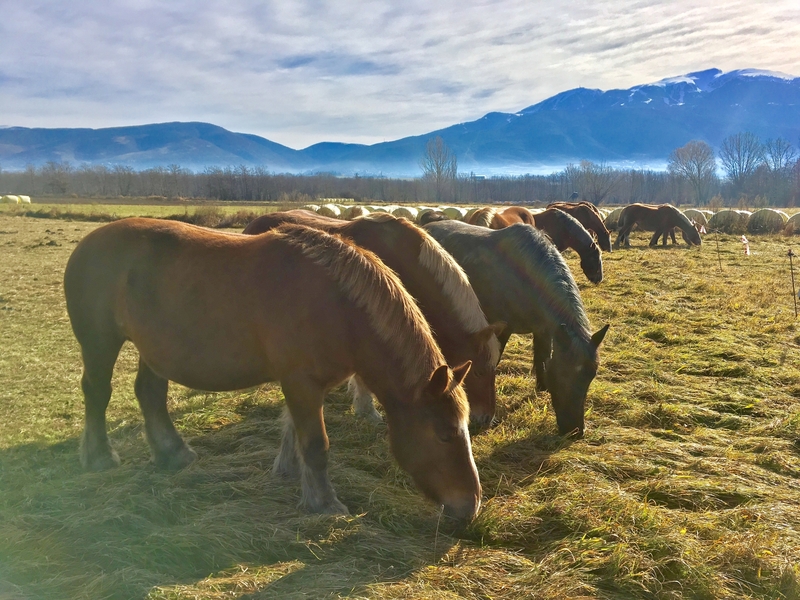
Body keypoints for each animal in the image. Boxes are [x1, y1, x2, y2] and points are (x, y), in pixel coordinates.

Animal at [64, 218, 481, 520]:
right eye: (445, 434)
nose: (470, 506)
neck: (339, 305)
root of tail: (87, 244)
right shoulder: (301, 382)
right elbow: (316, 444)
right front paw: (324, 503)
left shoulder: (304, 386)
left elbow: (294, 432)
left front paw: (293, 474)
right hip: (100, 343)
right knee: (97, 392)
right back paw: (99, 457)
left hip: (155, 350)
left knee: (150, 393)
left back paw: (173, 453)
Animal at [424, 220, 609, 437]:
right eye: (562, 374)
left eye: (591, 375)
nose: (574, 431)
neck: (525, 278)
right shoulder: (502, 329)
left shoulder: (543, 330)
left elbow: (542, 358)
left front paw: (542, 388)